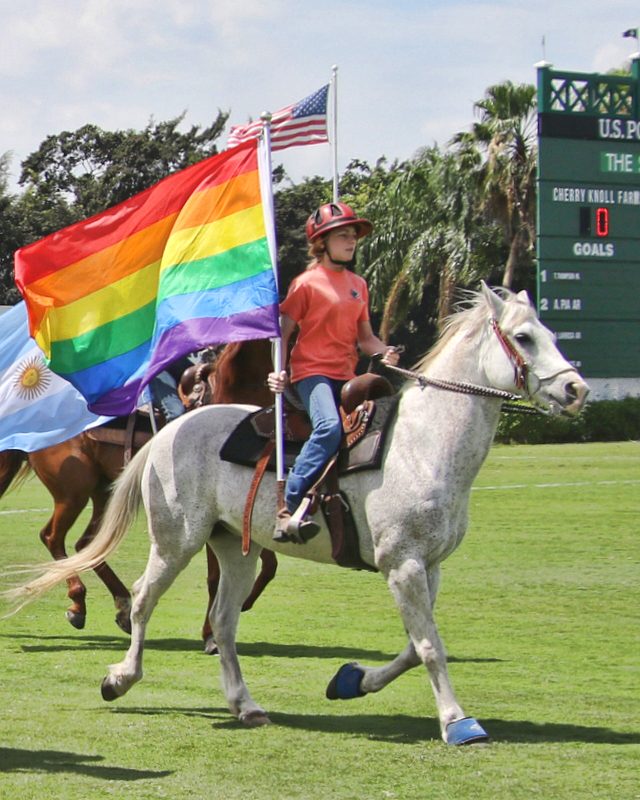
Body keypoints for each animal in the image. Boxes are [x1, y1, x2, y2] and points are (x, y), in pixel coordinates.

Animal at [0, 334, 274, 648]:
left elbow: (268, 565)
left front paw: (242, 604)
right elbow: (217, 576)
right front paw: (211, 635)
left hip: (103, 492)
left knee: (87, 543)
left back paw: (121, 607)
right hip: (72, 493)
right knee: (53, 538)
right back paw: (79, 603)